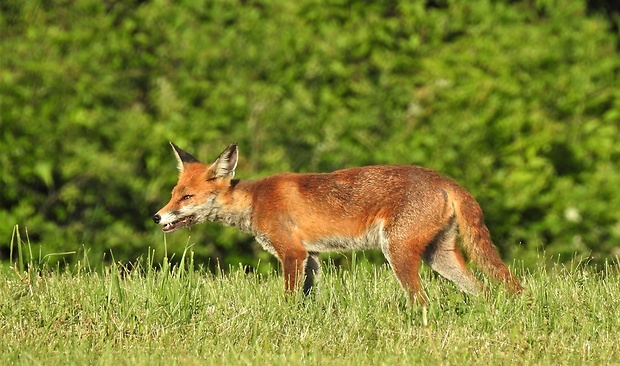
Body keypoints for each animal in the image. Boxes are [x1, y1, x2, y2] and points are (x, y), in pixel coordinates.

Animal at [154, 142, 524, 304]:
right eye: (174, 194)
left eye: (186, 197)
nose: (157, 216)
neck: (254, 201)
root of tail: (443, 179)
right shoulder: (311, 257)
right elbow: (309, 300)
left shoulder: (292, 254)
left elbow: (288, 299)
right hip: (440, 257)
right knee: (485, 291)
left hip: (398, 251)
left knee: (422, 300)